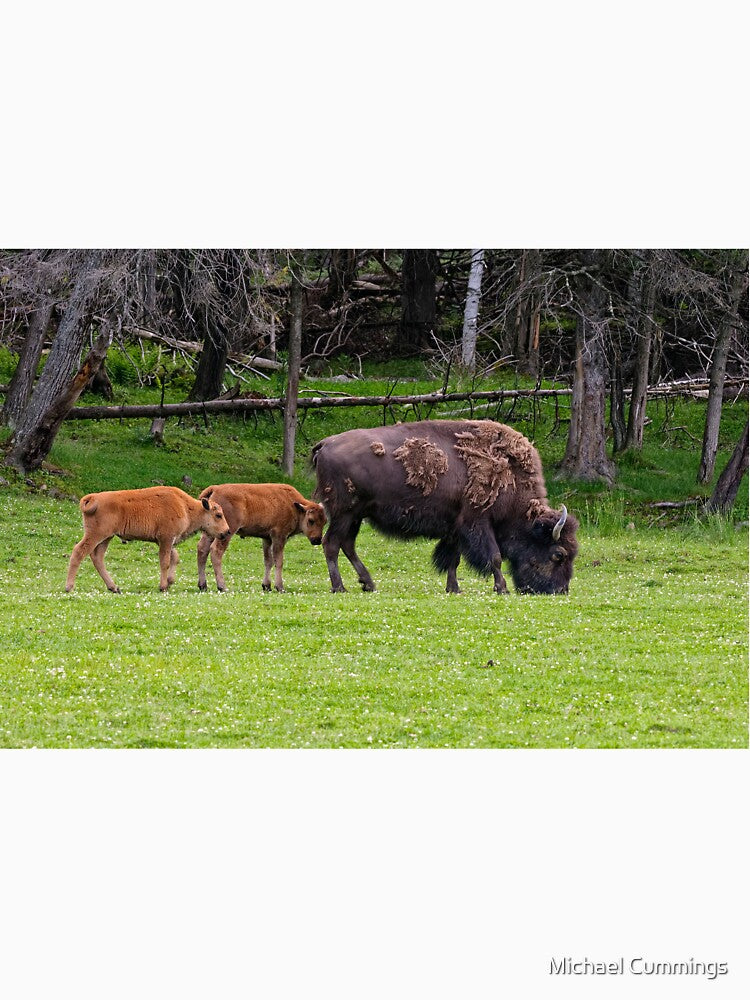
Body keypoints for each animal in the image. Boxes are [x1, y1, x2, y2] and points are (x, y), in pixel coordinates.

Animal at [65, 486, 230, 593]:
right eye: (218, 515)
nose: (226, 531)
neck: (186, 506)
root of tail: (93, 498)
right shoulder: (166, 539)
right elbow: (165, 562)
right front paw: (163, 586)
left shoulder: (168, 541)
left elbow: (174, 558)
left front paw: (170, 581)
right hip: (96, 535)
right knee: (79, 552)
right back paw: (69, 587)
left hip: (106, 537)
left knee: (97, 557)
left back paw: (114, 588)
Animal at [196, 483, 327, 592]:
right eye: (311, 520)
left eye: (325, 522)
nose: (317, 540)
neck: (293, 505)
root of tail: (215, 488)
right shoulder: (279, 536)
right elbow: (278, 561)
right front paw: (280, 587)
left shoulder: (267, 538)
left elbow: (268, 561)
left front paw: (266, 586)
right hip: (227, 532)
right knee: (216, 551)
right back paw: (222, 586)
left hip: (210, 532)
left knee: (202, 549)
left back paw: (203, 585)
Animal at [311, 419, 579, 595]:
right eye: (558, 554)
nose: (560, 590)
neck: (510, 479)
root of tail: (325, 443)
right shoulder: (477, 522)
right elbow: (494, 556)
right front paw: (501, 588)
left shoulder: (456, 527)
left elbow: (453, 559)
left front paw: (454, 588)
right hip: (344, 513)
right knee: (331, 544)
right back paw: (340, 587)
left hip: (356, 516)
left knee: (347, 545)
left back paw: (368, 583)